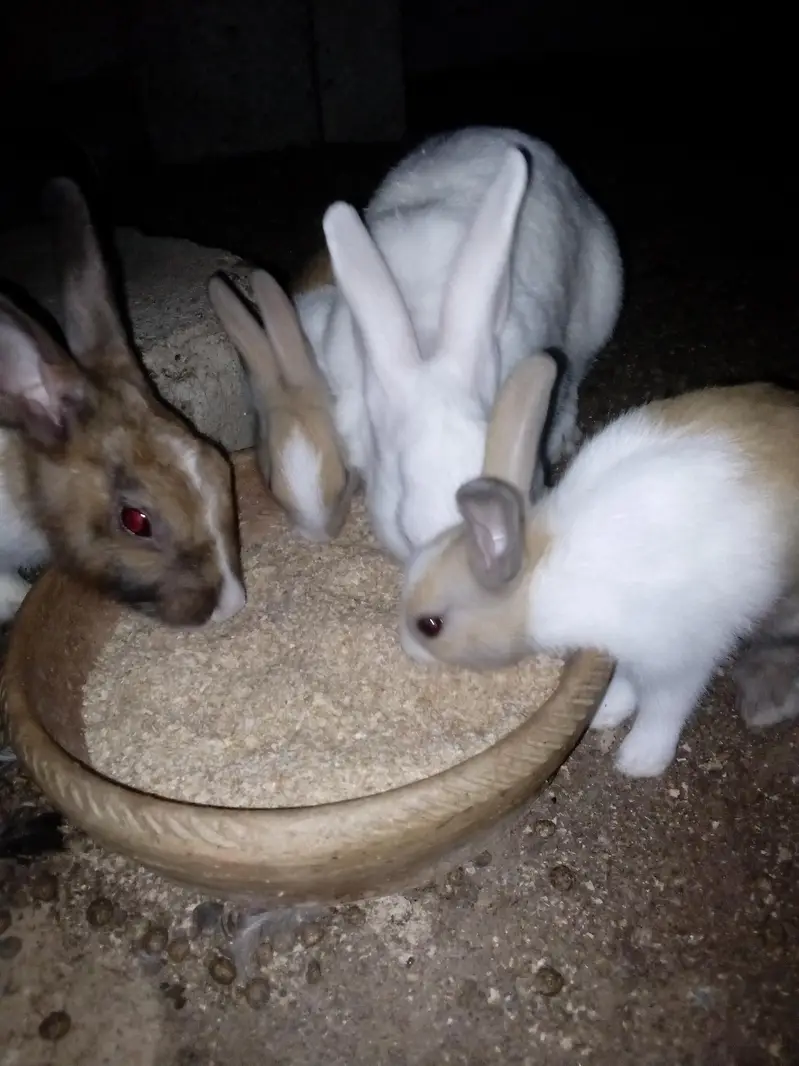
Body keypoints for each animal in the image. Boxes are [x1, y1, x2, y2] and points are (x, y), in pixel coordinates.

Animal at [399, 350, 799, 778]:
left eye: (430, 626)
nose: (405, 647)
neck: (538, 581)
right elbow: (624, 681)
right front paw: (606, 712)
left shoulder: (679, 655)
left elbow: (664, 706)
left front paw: (638, 761)